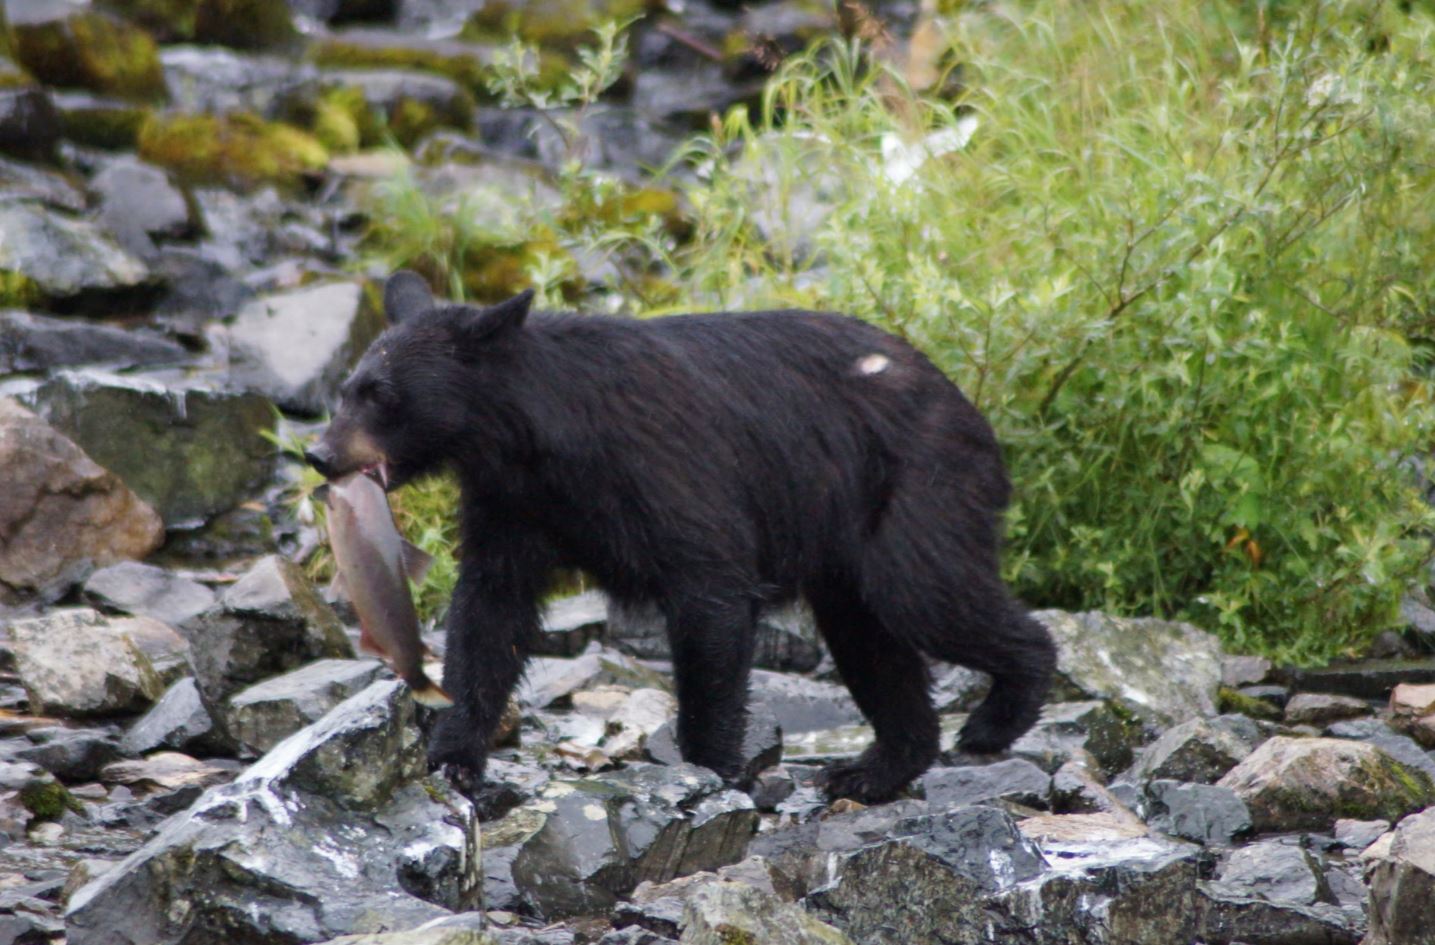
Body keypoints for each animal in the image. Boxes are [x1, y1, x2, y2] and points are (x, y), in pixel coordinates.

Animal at [305, 271, 1057, 804]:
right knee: (869, 638)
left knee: (927, 595)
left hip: (916, 488)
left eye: (382, 394)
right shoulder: (513, 506)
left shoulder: (666, 471)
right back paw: (873, 770)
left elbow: (709, 596)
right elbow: (489, 613)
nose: (319, 454)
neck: (534, 437)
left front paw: (710, 769)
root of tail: (969, 408)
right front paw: (453, 757)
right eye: (346, 388)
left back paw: (998, 714)